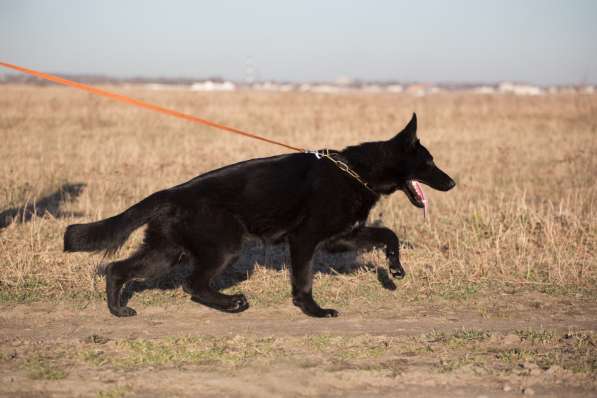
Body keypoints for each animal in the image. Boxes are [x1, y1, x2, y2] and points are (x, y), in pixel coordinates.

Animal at [65, 113, 454, 318]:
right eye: (430, 162)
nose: (452, 183)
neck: (356, 171)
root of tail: (172, 193)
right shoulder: (305, 240)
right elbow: (303, 280)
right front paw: (312, 310)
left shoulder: (341, 236)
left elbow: (389, 235)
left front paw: (394, 269)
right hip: (223, 247)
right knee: (193, 284)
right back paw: (231, 302)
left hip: (165, 252)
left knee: (119, 269)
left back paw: (118, 310)